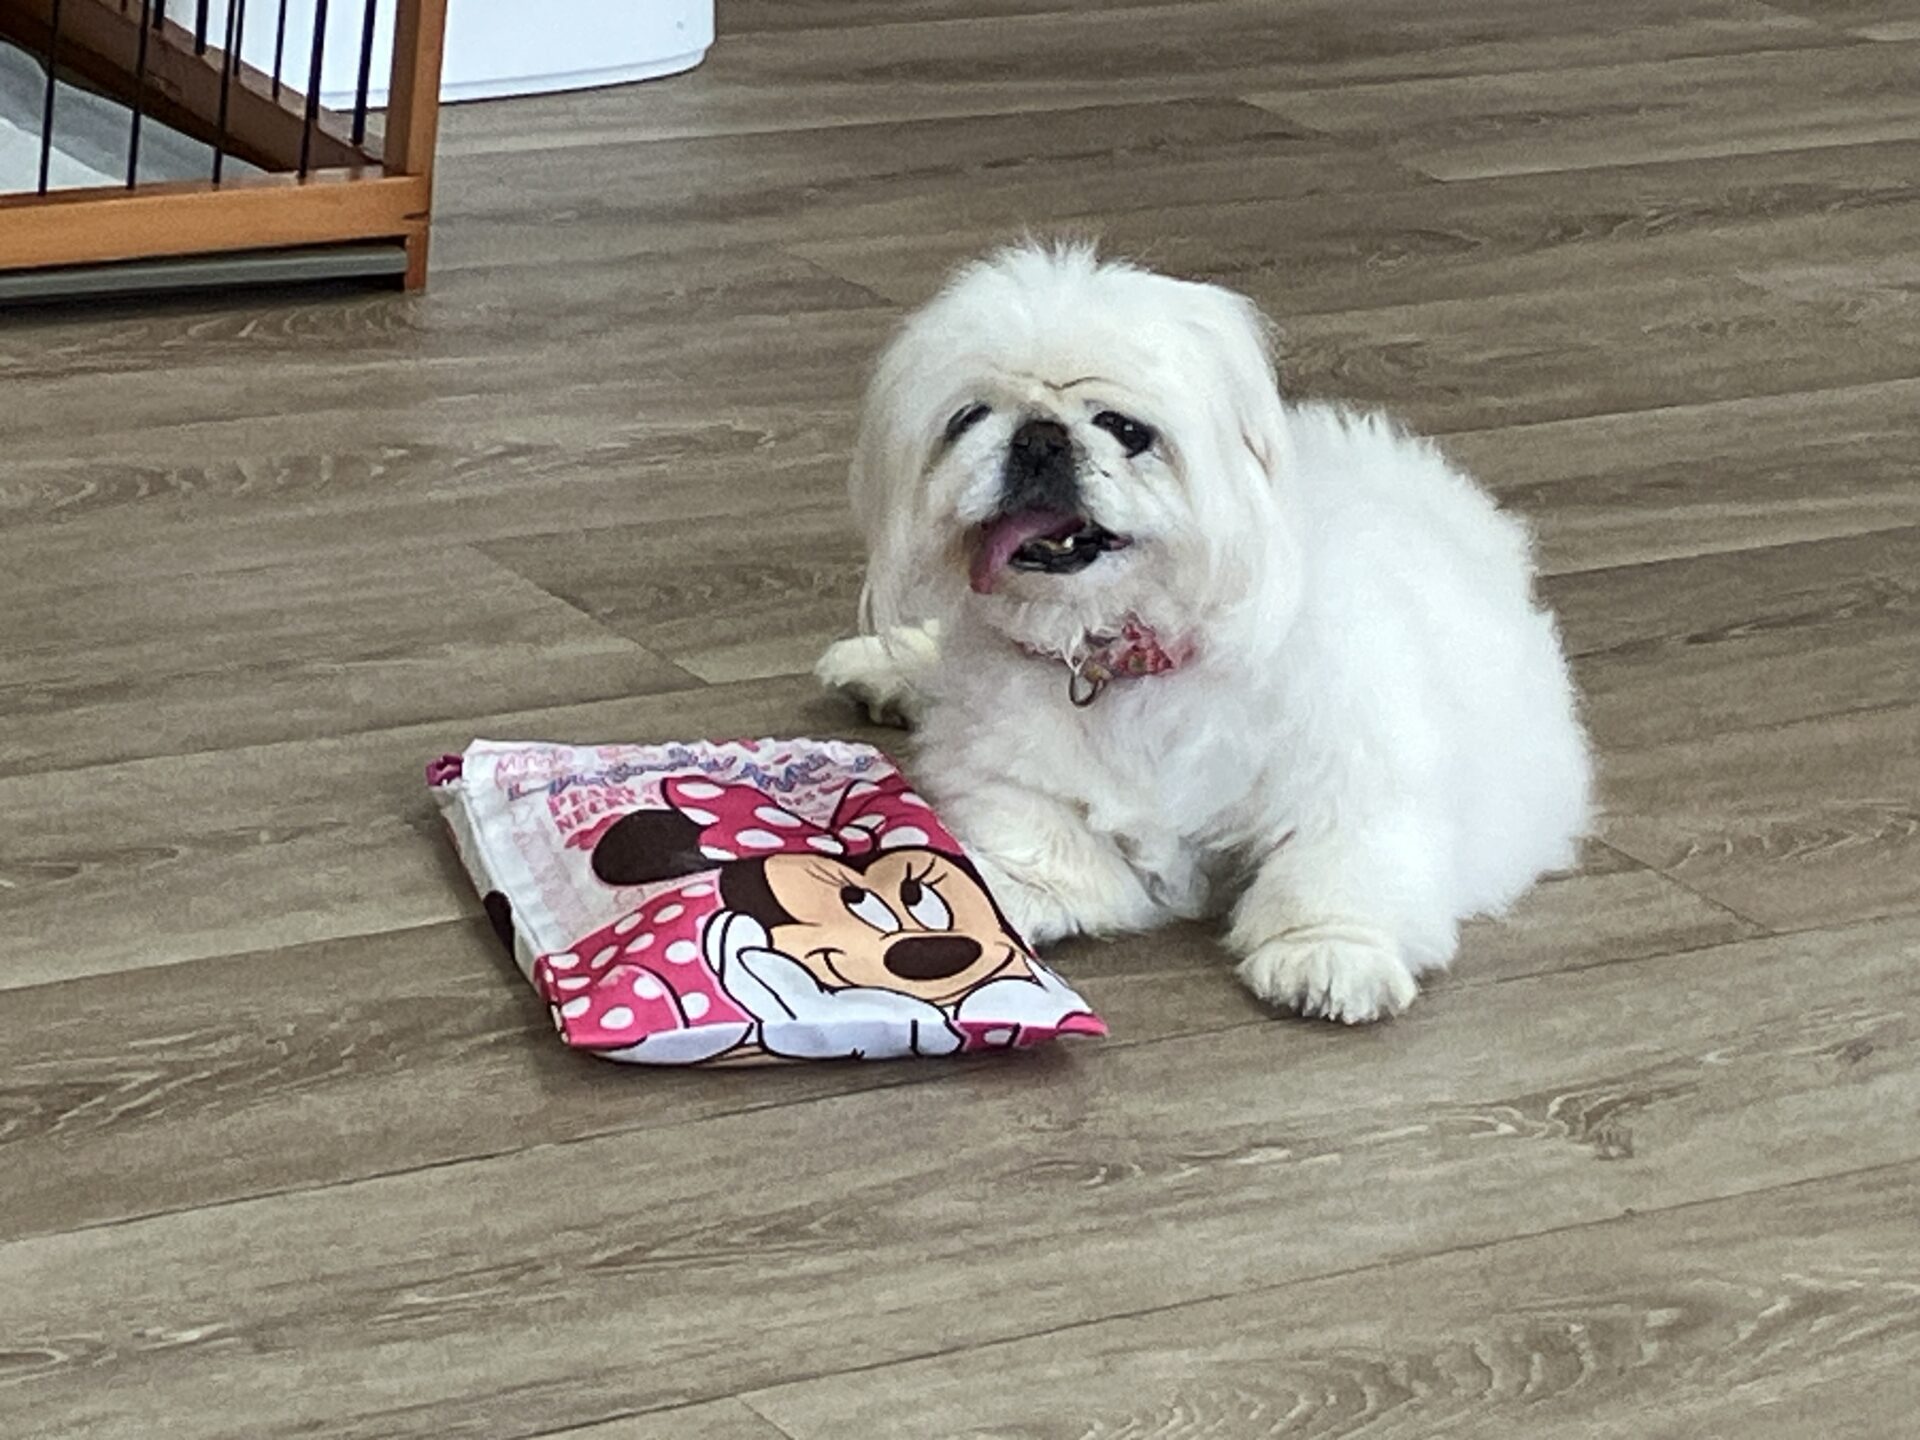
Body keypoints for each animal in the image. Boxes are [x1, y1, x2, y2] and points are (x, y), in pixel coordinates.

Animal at [816, 242, 1592, 1023]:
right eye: (970, 417)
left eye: (1127, 431)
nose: (1038, 435)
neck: (1120, 656)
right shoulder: (1004, 771)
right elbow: (1043, 842)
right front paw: (1003, 892)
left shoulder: (1358, 774)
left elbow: (1335, 866)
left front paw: (1328, 955)